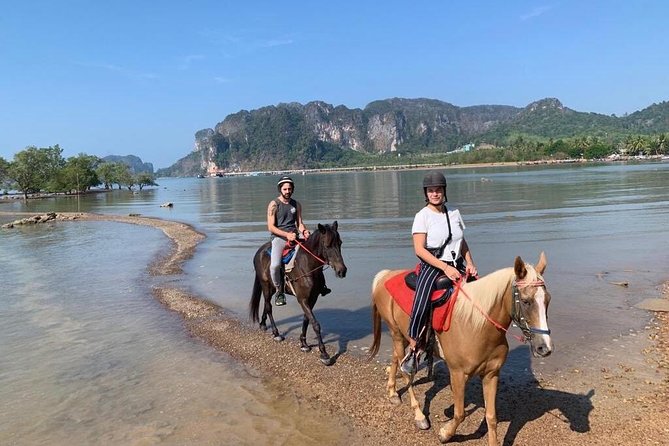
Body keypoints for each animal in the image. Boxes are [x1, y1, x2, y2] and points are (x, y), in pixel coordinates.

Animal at [248, 222, 348, 366]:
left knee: (267, 306)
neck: (308, 265)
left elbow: (306, 319)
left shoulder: (312, 298)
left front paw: (303, 343)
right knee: (269, 307)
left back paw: (262, 324)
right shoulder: (302, 299)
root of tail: (259, 252)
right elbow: (315, 324)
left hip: (272, 288)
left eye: (340, 243)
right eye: (327, 245)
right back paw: (276, 333)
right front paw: (324, 353)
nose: (342, 271)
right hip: (266, 286)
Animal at [368, 253, 552, 444]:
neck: (477, 325)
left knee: (395, 358)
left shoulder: (491, 374)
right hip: (397, 334)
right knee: (405, 371)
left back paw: (392, 393)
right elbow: (459, 413)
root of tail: (385, 275)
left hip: (404, 337)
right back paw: (419, 416)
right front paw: (445, 433)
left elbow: (491, 417)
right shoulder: (457, 373)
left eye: (548, 300)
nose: (544, 347)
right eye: (526, 301)